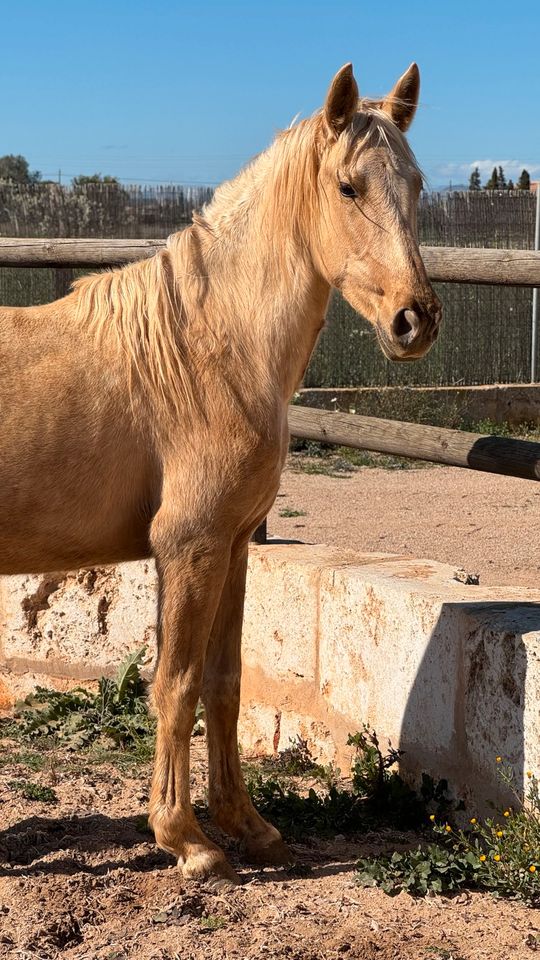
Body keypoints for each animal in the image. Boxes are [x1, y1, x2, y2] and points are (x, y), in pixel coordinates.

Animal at [0, 60, 438, 884]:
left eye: (419, 184)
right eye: (348, 187)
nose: (414, 320)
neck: (213, 348)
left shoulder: (233, 548)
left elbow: (223, 686)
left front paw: (250, 828)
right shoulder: (189, 547)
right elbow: (174, 688)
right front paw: (187, 840)